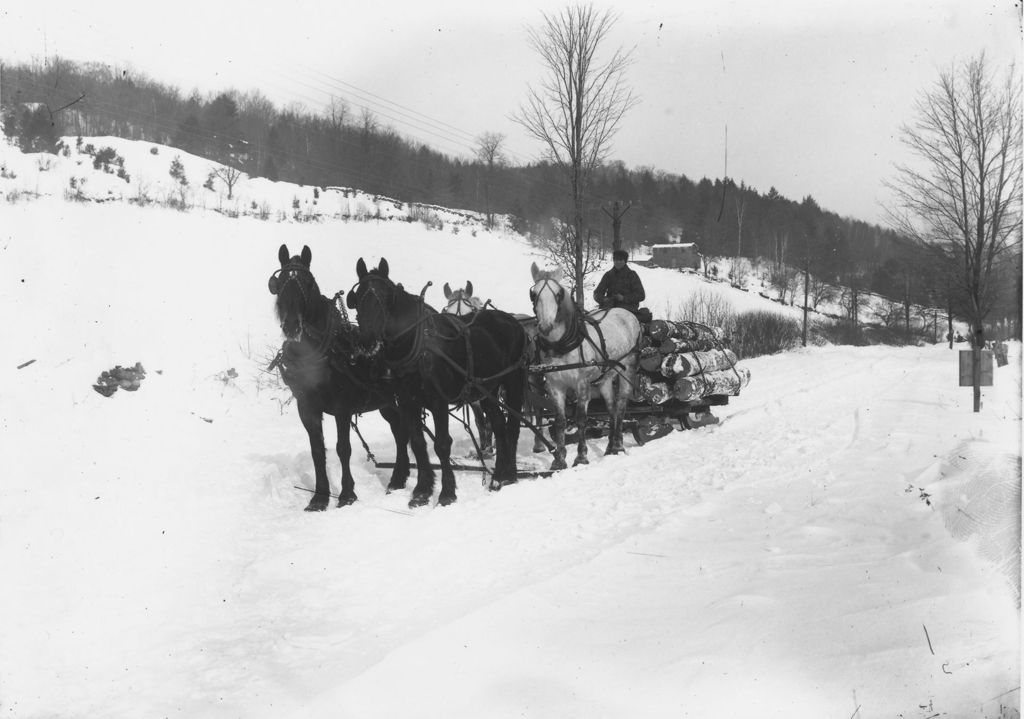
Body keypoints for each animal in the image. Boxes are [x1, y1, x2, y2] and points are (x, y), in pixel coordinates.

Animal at [270, 246, 409, 512]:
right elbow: (317, 450)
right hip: (387, 402)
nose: (291, 326)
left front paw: (347, 494)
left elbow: (342, 448)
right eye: (279, 283)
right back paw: (399, 478)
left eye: (308, 283)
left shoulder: (342, 406)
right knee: (399, 430)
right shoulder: (307, 407)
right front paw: (319, 497)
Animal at [350, 258, 528, 508]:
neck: (417, 344)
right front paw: (421, 491)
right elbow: (417, 442)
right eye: (356, 299)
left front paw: (447, 493)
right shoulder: (408, 402)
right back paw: (498, 476)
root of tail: (512, 320)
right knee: (499, 426)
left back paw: (509, 475)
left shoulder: (438, 401)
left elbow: (442, 443)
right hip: (487, 390)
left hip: (513, 380)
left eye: (385, 298)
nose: (367, 341)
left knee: (512, 426)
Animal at [528, 262, 638, 471]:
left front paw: (581, 457)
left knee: (621, 405)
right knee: (611, 407)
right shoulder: (555, 386)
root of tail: (626, 313)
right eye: (533, 293)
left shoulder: (582, 384)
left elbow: (580, 419)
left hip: (627, 369)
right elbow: (560, 421)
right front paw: (559, 459)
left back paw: (619, 445)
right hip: (604, 378)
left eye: (559, 293)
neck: (561, 347)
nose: (545, 327)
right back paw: (610, 447)